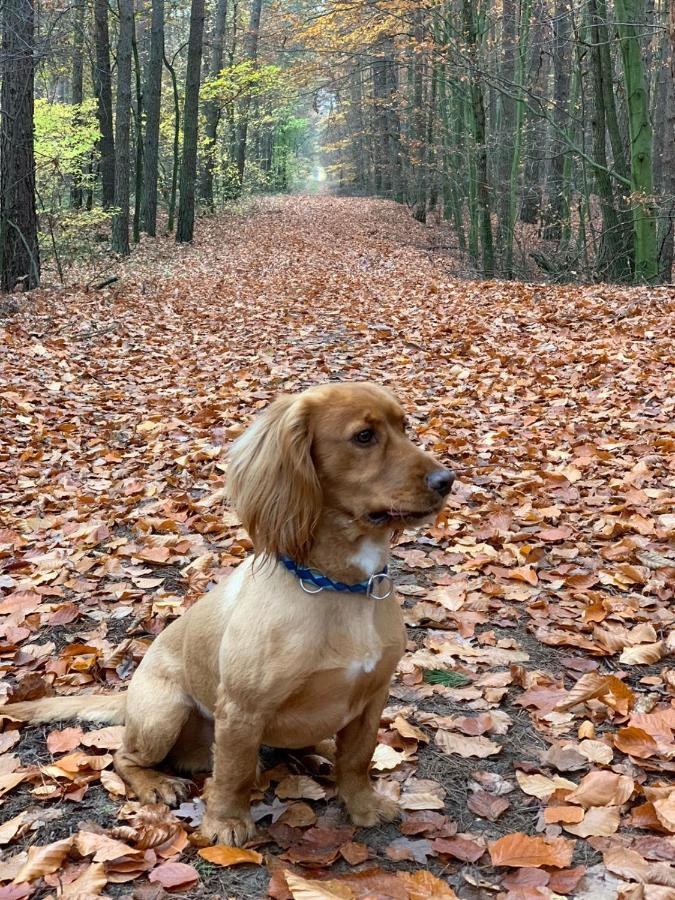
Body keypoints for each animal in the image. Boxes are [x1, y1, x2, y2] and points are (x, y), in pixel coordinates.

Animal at [3, 384, 454, 848]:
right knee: (124, 757)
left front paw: (363, 804)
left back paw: (323, 752)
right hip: (163, 713)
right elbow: (234, 774)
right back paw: (157, 784)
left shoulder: (373, 695)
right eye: (364, 436)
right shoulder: (242, 709)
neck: (337, 586)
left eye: (405, 427)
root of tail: (128, 697)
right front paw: (226, 823)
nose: (447, 481)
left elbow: (357, 759)